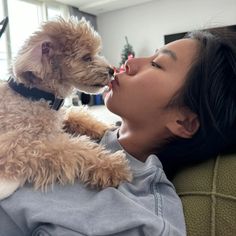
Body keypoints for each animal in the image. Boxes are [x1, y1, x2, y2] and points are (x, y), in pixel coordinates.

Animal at [0, 17, 131, 200]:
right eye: (86, 57)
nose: (112, 70)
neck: (36, 95)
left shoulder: (62, 116)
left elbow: (78, 115)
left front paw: (106, 128)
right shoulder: (19, 146)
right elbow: (73, 148)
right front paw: (112, 166)